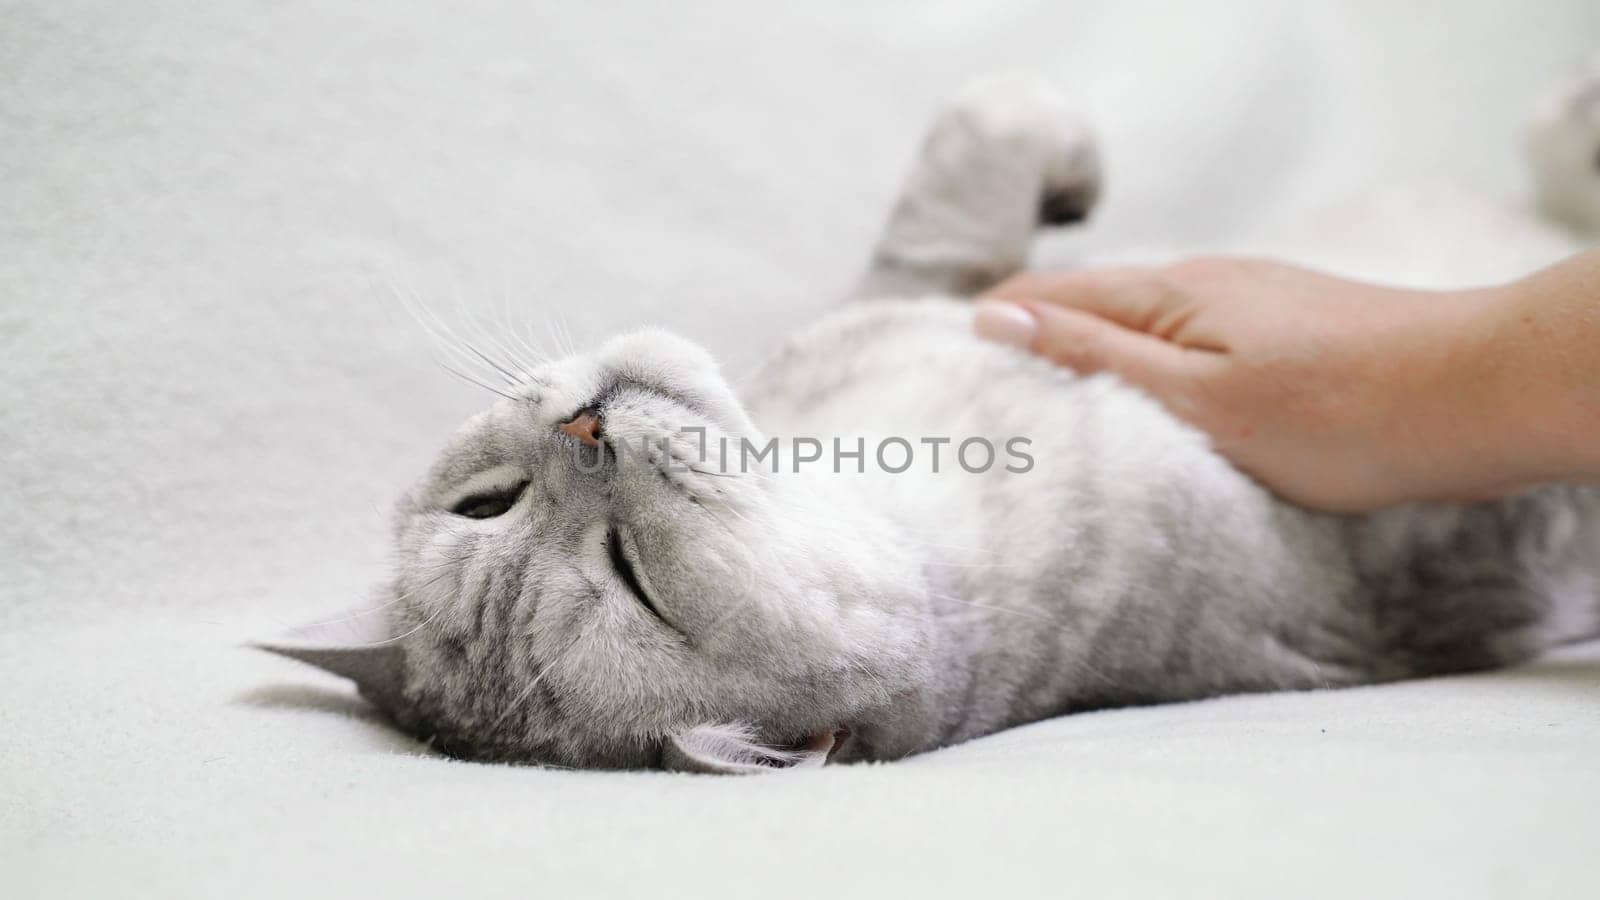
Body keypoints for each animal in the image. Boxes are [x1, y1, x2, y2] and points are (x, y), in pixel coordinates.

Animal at [259, 73, 1600, 771]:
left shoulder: (929, 285)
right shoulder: (1397, 552)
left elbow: (966, 166)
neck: (873, 487)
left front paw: (1047, 157)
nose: (587, 426)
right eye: (632, 577)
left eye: (484, 504)